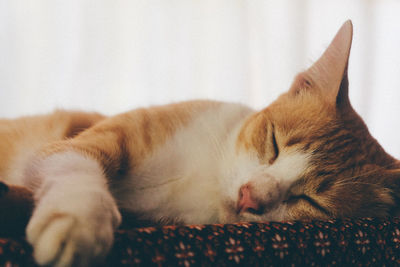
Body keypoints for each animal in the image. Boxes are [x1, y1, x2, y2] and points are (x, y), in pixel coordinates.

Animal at [0, 19, 398, 266]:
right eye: (273, 143)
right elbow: (75, 165)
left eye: (311, 201)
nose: (249, 197)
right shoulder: (82, 140)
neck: (205, 180)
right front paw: (79, 220)